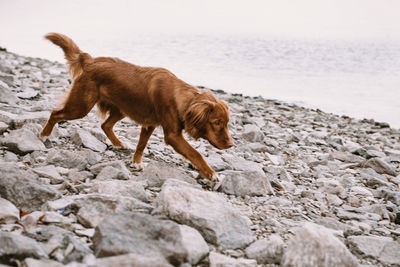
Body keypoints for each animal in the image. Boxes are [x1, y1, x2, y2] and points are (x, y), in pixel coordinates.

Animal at [39, 32, 233, 181]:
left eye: (226, 123)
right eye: (216, 122)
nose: (231, 145)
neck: (183, 98)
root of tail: (90, 60)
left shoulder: (149, 125)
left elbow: (141, 145)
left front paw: (136, 163)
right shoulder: (173, 135)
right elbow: (195, 154)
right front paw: (211, 173)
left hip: (121, 108)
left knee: (105, 125)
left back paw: (118, 143)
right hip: (81, 106)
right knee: (55, 113)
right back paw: (44, 135)